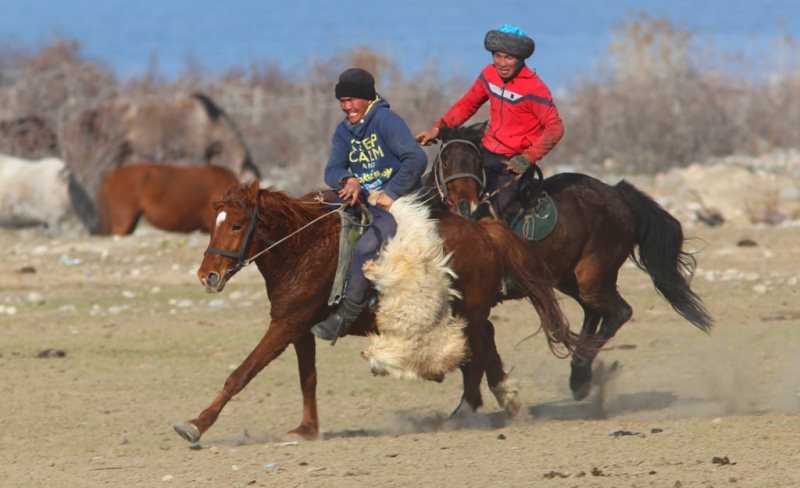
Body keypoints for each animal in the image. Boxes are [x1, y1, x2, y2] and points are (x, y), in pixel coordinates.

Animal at [173, 180, 576, 442]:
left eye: (237, 224)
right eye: (215, 223)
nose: (207, 276)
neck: (303, 247)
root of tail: (485, 230)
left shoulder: (286, 324)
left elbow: (241, 373)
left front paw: (195, 425)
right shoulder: (300, 328)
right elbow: (308, 378)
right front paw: (307, 429)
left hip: (471, 312)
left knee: (476, 353)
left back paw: (466, 411)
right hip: (469, 312)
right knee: (484, 346)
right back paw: (507, 401)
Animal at [432, 124, 712, 402]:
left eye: (476, 160)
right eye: (445, 160)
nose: (466, 207)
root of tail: (617, 193)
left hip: (592, 276)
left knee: (619, 312)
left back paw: (580, 373)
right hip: (568, 278)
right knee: (594, 312)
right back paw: (581, 374)